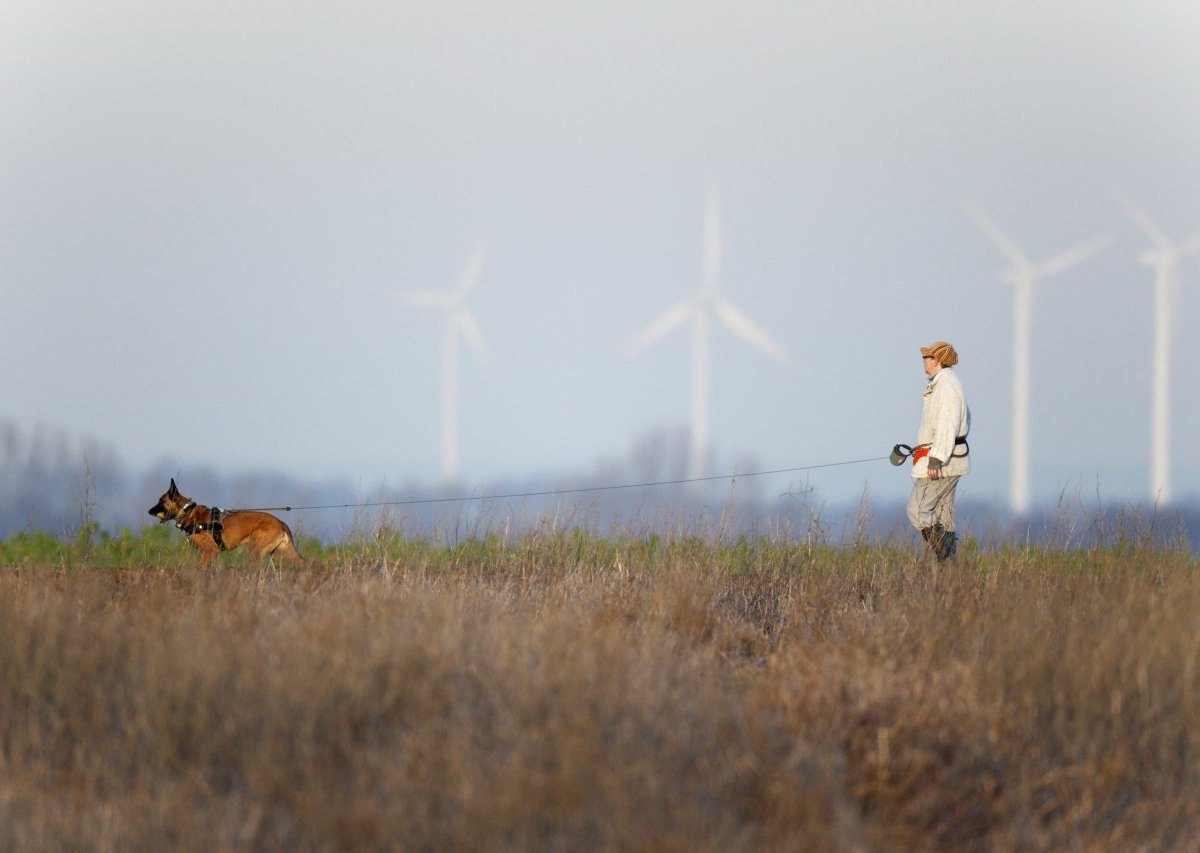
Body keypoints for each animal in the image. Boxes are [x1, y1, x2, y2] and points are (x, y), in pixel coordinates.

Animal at [148, 479, 304, 566]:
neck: (187, 511)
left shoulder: (211, 552)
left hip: (256, 552)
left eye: (161, 501)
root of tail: (281, 522)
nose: (149, 511)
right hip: (281, 555)